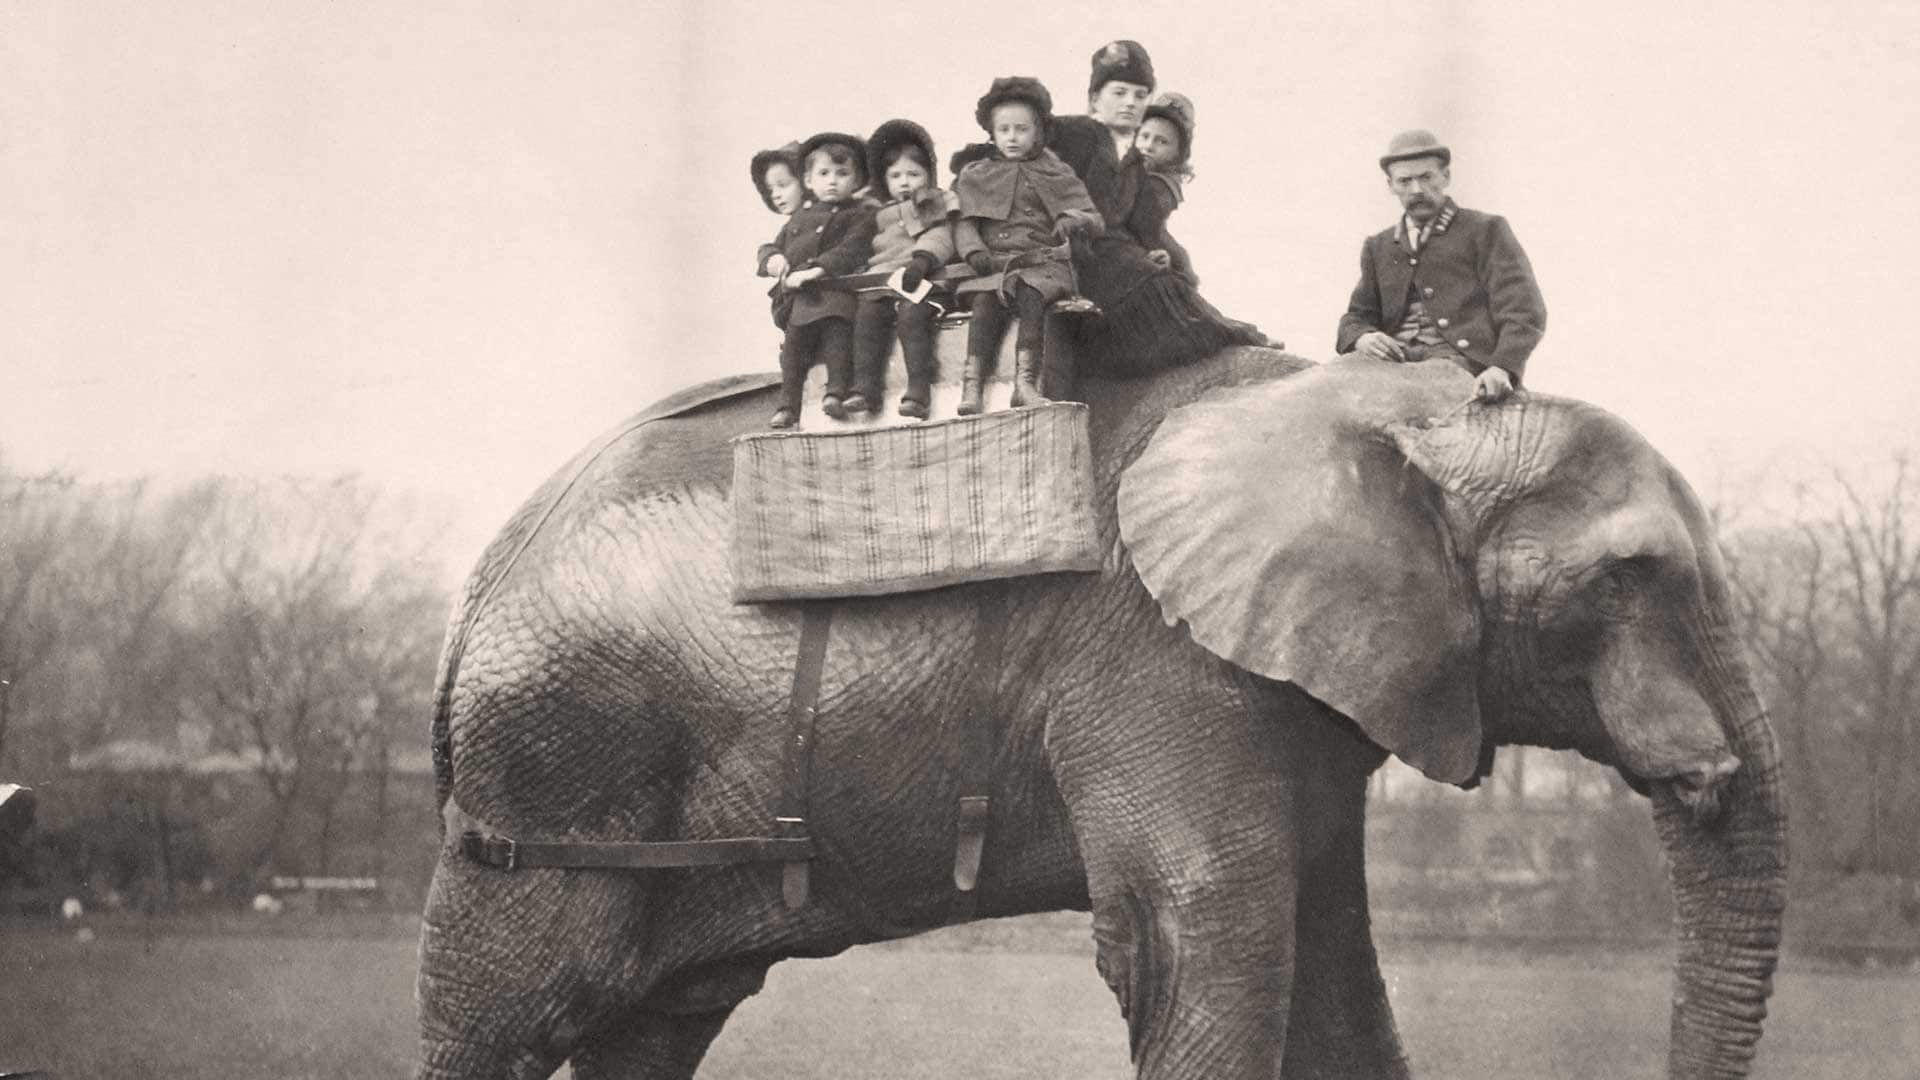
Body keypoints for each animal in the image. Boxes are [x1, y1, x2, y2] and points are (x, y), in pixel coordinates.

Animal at [415, 347, 1785, 1079]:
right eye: (1634, 575)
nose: (1707, 774)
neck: (1391, 405)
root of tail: (477, 582)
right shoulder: (1157, 664)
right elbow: (1204, 943)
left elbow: (1327, 960)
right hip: (559, 761)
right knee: (509, 1010)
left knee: (655, 1022)